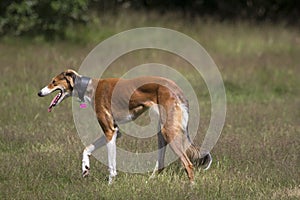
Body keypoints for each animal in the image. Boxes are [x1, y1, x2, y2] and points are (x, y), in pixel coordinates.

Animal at [38, 69, 211, 184]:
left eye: (53, 81)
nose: (39, 93)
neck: (89, 88)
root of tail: (177, 89)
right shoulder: (115, 131)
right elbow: (86, 149)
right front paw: (85, 168)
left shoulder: (109, 131)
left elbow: (111, 165)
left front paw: (109, 185)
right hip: (162, 132)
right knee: (161, 164)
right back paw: (150, 180)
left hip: (168, 131)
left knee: (188, 164)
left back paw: (191, 188)